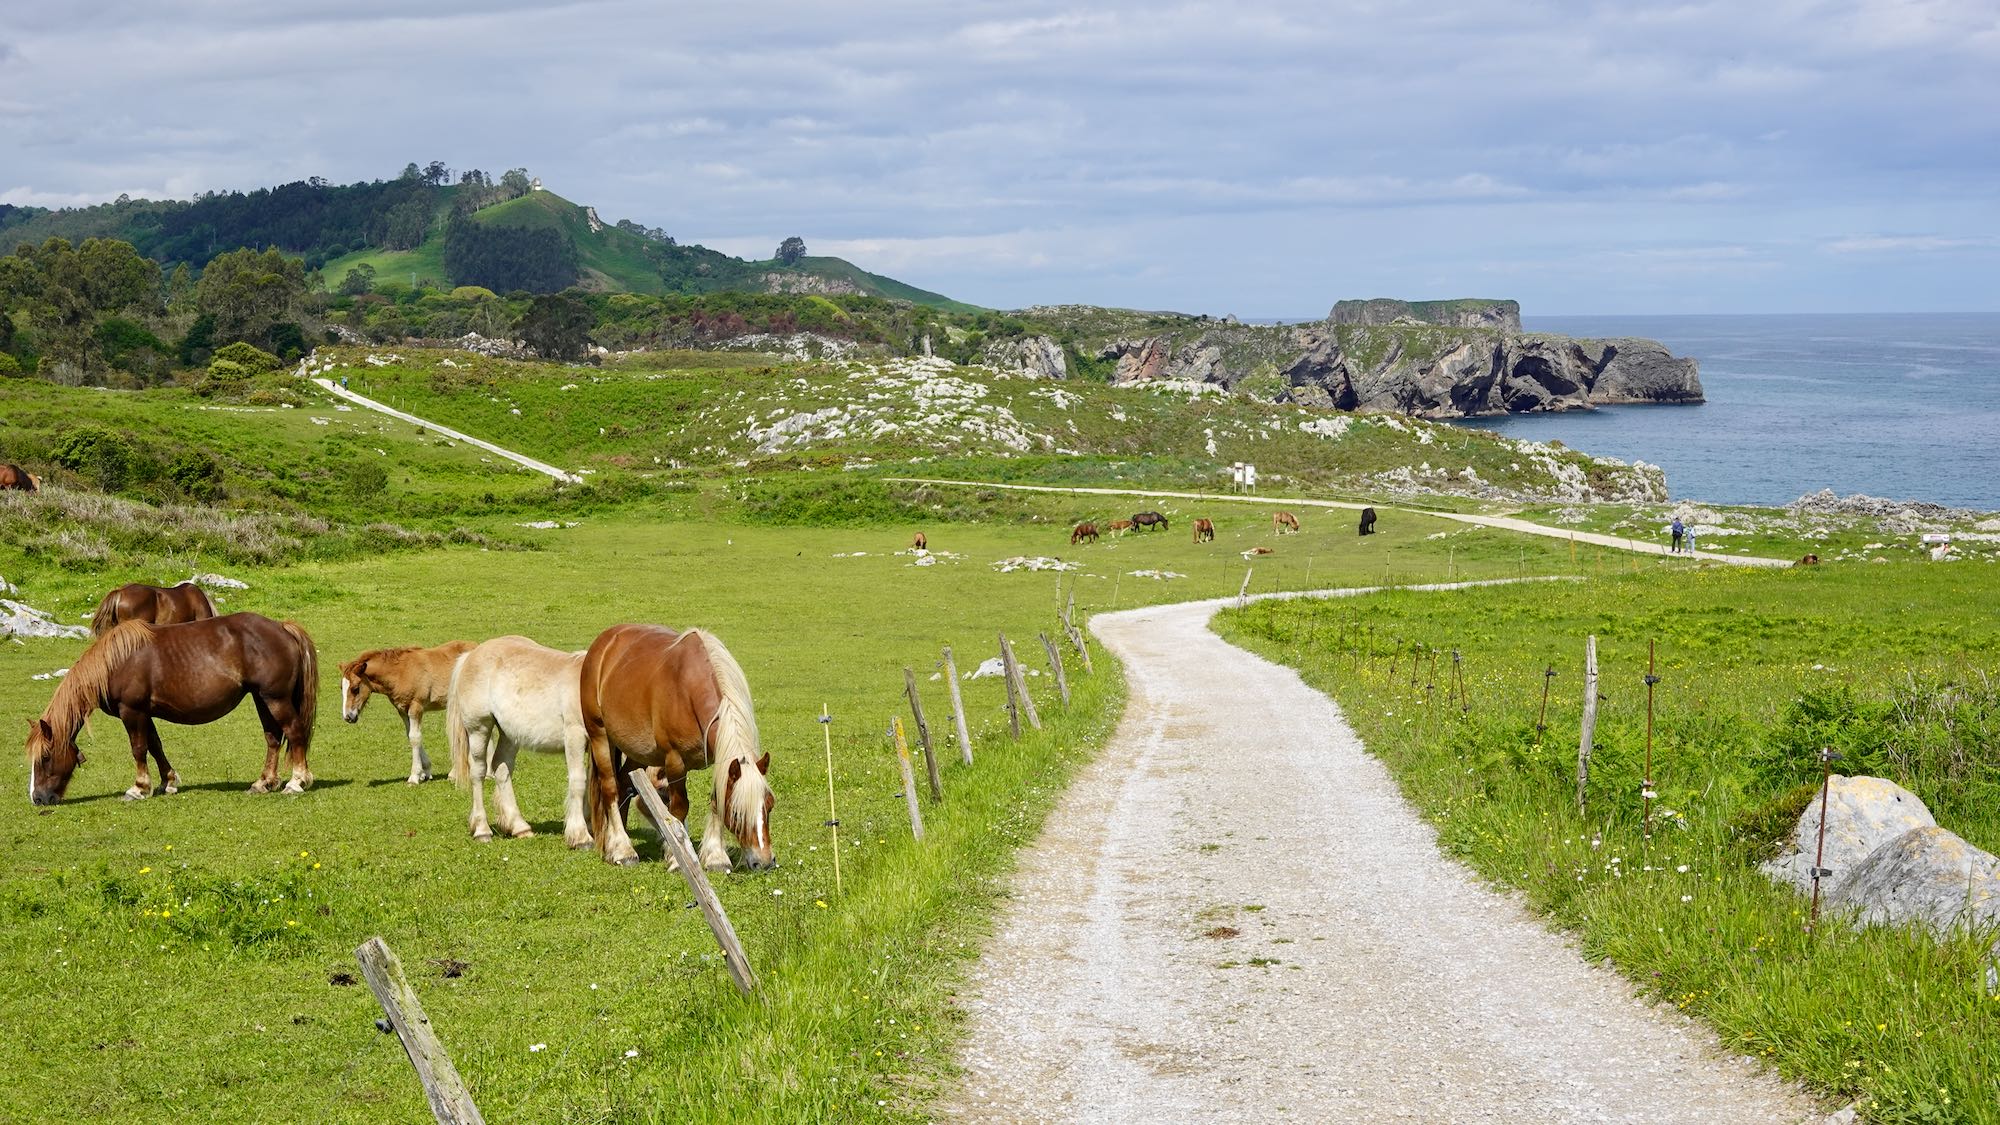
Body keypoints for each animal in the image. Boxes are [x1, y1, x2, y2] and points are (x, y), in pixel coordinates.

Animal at [27, 613, 318, 805]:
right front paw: (167, 782)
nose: (38, 798)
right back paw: (263, 782)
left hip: (275, 699)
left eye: (45, 758)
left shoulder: (131, 711)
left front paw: (138, 788)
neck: (115, 662)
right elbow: (155, 746)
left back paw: (296, 782)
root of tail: (282, 627)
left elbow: (138, 749)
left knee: (294, 732)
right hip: (261, 698)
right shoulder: (144, 713)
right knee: (272, 738)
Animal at [340, 640, 475, 784]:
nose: (348, 717)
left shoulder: (416, 707)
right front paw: (425, 772)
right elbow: (410, 735)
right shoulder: (403, 710)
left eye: (355, 688)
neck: (400, 673)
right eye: (341, 688)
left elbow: (415, 738)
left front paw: (414, 777)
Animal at [445, 636, 593, 848]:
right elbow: (579, 781)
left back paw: (518, 827)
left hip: (509, 734)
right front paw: (580, 836)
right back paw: (482, 830)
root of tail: (470, 655)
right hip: (479, 728)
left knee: (501, 768)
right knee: (478, 772)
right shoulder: (575, 736)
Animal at [580, 624, 774, 871]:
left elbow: (716, 800)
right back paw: (622, 849)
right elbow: (679, 808)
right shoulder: (675, 762)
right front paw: (677, 858)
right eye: (738, 813)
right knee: (610, 789)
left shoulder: (720, 761)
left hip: (640, 754)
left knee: (624, 783)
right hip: (600, 737)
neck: (689, 688)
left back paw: (616, 843)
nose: (765, 861)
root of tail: (603, 642)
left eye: (769, 806)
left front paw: (716, 857)